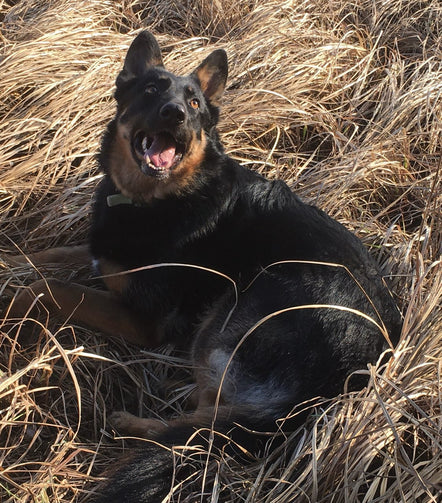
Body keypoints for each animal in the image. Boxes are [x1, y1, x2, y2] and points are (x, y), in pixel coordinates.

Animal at [6, 32, 400, 503]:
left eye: (193, 103)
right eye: (151, 90)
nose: (175, 113)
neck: (156, 198)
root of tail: (355, 370)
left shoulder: (144, 320)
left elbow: (48, 289)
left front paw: (10, 302)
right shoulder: (103, 256)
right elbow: (54, 255)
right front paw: (10, 258)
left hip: (232, 310)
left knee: (207, 432)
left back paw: (133, 425)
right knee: (214, 418)